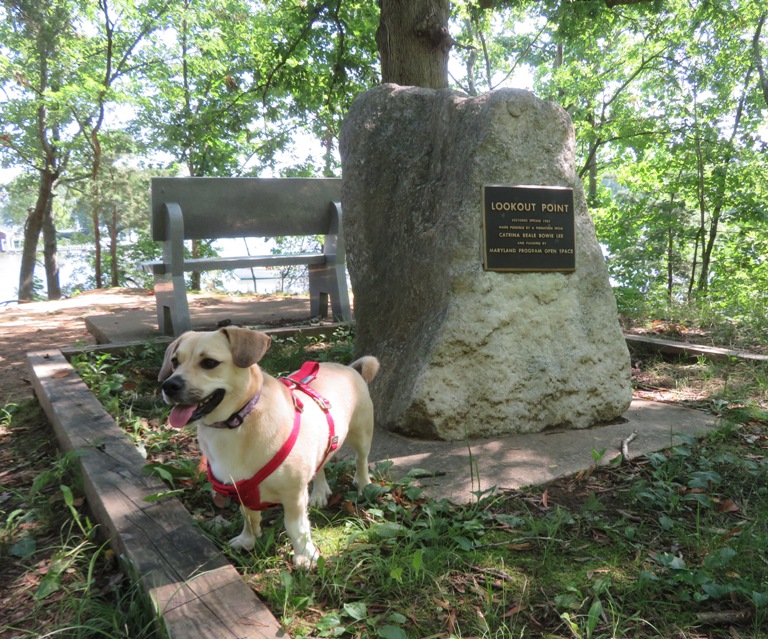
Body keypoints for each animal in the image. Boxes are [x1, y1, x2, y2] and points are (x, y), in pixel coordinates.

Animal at [158, 328, 380, 568]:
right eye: (174, 362)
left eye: (209, 362)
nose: (168, 385)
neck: (238, 421)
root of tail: (349, 368)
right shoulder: (240, 490)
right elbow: (248, 516)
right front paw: (248, 539)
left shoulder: (293, 495)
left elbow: (296, 527)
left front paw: (304, 554)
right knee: (320, 466)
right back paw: (320, 492)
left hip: (361, 434)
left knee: (361, 460)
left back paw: (363, 484)